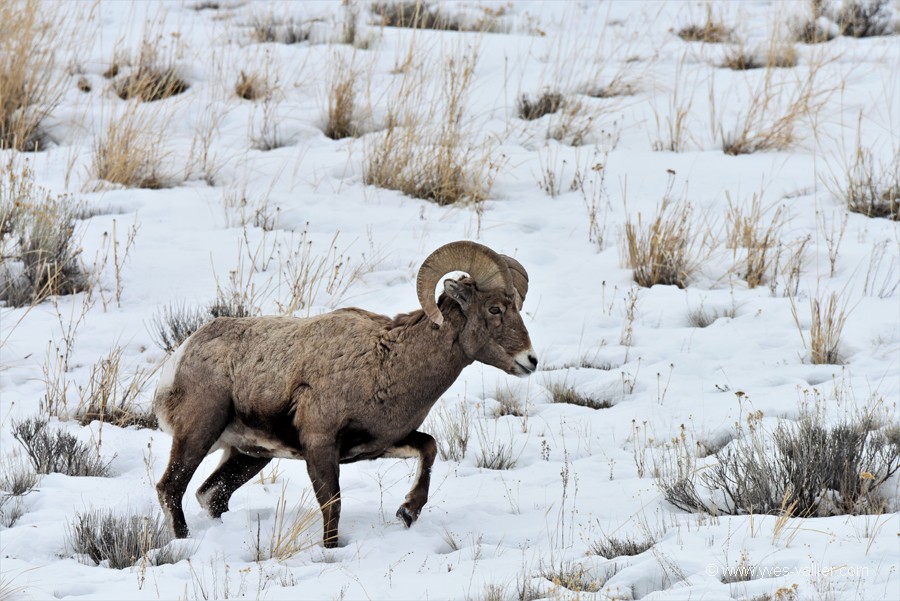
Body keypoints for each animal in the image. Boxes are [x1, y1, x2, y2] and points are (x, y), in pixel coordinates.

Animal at [151, 239, 536, 544]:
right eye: (495, 309)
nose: (530, 361)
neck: (390, 363)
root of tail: (181, 356)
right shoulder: (321, 445)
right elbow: (332, 506)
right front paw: (331, 552)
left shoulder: (382, 442)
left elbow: (429, 447)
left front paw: (408, 512)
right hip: (198, 435)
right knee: (171, 488)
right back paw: (183, 542)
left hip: (250, 455)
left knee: (212, 495)